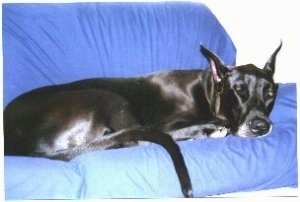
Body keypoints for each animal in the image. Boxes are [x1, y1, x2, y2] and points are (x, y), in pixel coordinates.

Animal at [4, 43, 282, 197]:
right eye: (239, 90)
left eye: (270, 93)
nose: (261, 126)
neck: (208, 90)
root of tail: (17, 145)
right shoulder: (169, 123)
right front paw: (210, 128)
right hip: (107, 96)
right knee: (138, 138)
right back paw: (208, 131)